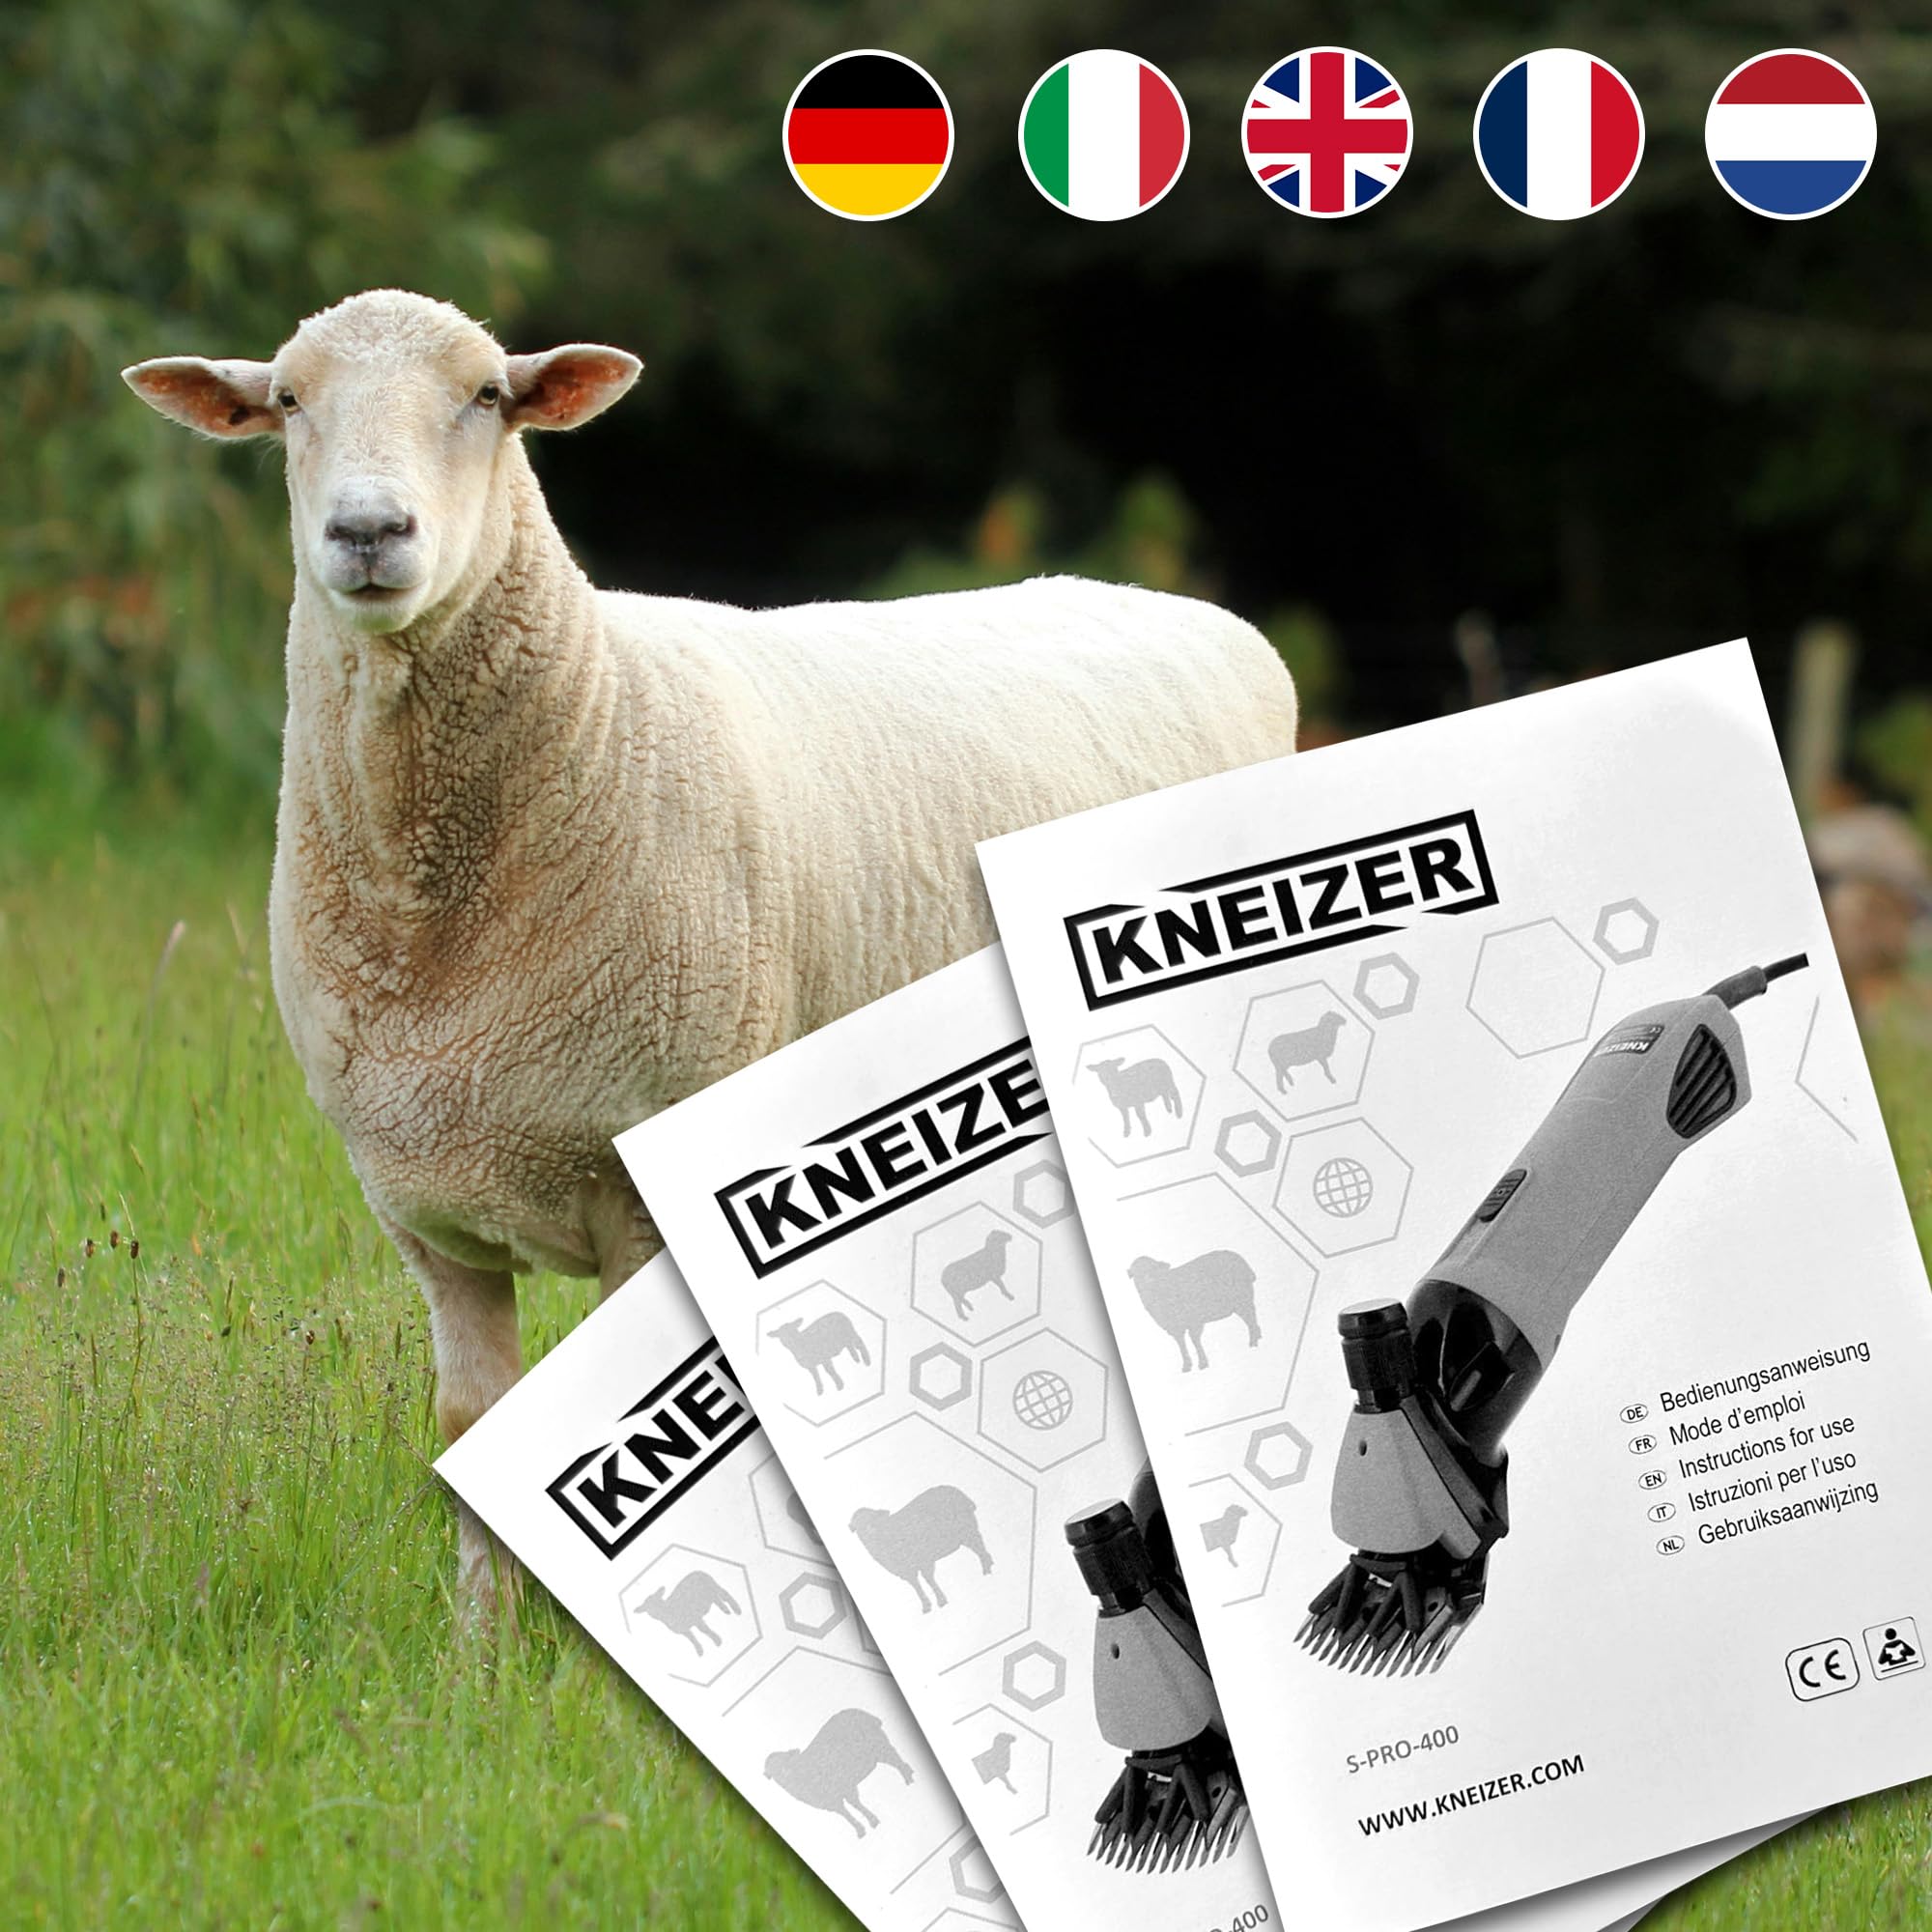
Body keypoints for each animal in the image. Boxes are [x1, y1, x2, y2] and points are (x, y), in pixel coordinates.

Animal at [764, 1708, 915, 1837]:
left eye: (785, 1760)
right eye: (772, 1768)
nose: (785, 1772)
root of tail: (862, 1712)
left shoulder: (844, 1787)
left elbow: (855, 1805)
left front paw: (870, 1823)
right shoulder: (833, 1802)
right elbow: (846, 1813)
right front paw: (864, 1827)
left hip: (879, 1746)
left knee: (895, 1759)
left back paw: (908, 1777)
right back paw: (910, 1773)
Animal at [848, 1485, 993, 1612]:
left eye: (873, 1518)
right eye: (858, 1525)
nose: (869, 1531)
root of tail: (956, 1491)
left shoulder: (924, 1560)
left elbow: (929, 1579)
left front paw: (941, 1601)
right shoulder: (907, 1571)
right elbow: (916, 1586)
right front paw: (926, 1606)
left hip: (966, 1528)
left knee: (978, 1545)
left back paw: (987, 1567)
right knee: (977, 1546)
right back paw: (989, 1563)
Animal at [1127, 1250, 1260, 1372]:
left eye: (1153, 1268)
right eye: (1136, 1273)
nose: (1147, 1280)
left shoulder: (1194, 1320)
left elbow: (1195, 1340)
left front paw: (1202, 1363)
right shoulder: (1175, 1328)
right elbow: (1181, 1344)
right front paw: (1186, 1366)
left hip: (1242, 1298)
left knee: (1251, 1316)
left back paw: (1253, 1341)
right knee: (1249, 1318)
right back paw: (1258, 1336)